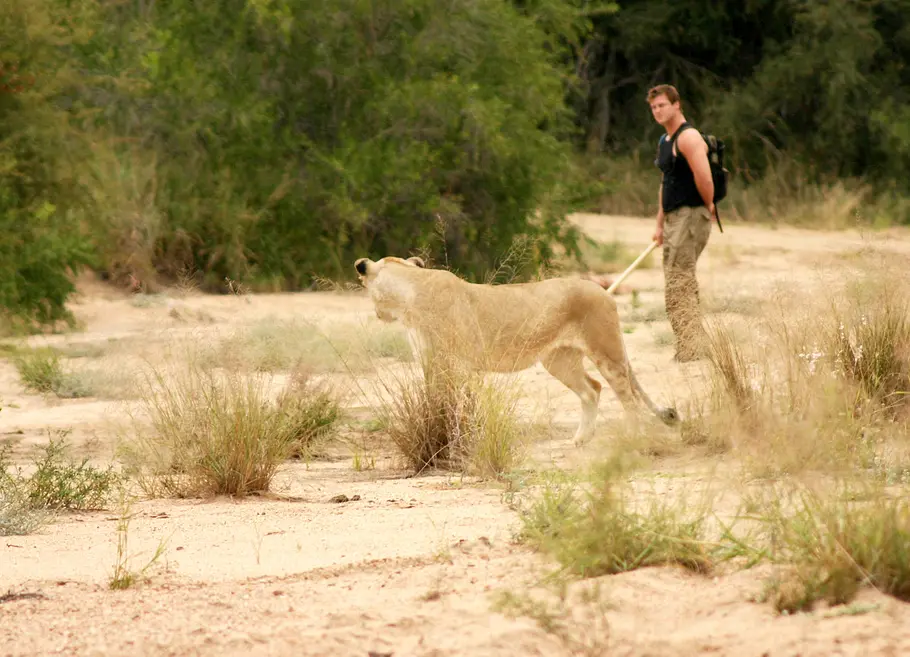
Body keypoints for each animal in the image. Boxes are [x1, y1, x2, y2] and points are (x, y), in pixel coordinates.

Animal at [354, 255, 678, 444]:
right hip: (559, 360)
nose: (378, 315)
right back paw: (581, 440)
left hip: (606, 350)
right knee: (592, 389)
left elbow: (454, 403)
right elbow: (435, 399)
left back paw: (631, 440)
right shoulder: (431, 361)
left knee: (628, 397)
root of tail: (604, 291)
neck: (410, 291)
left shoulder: (457, 363)